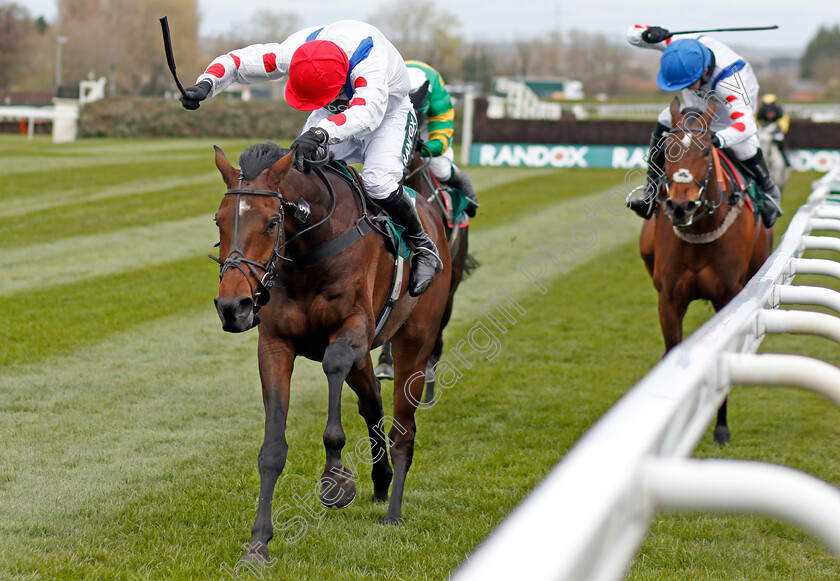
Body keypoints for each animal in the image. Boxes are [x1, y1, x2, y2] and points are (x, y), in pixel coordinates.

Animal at [640, 97, 772, 444]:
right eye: (667, 149)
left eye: (704, 152)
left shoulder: (727, 297)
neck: (700, 230)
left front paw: (721, 426)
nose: (680, 206)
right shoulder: (669, 299)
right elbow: (673, 351)